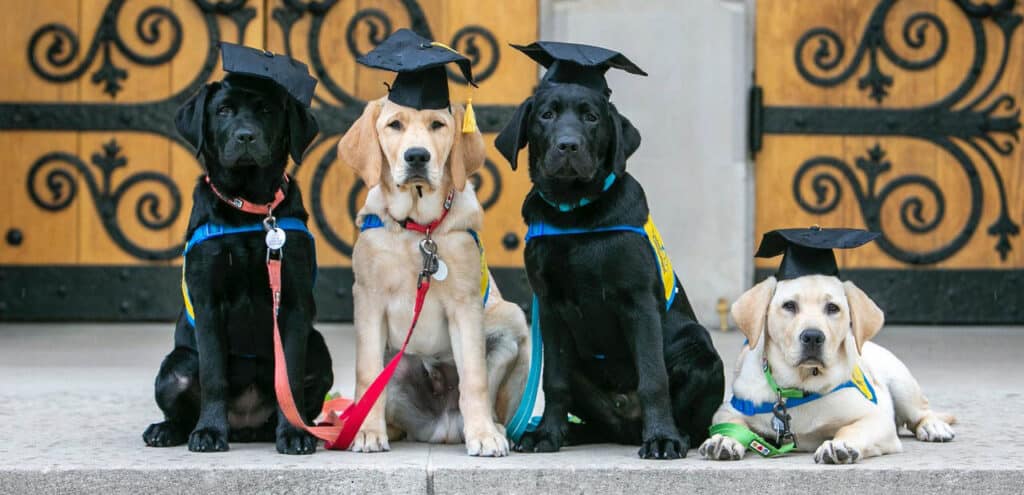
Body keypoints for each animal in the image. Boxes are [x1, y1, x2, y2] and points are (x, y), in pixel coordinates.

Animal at [140, 44, 329, 455]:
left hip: (319, 350)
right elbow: (214, 375)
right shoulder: (208, 303)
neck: (250, 207)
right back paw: (169, 430)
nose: (245, 136)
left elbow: (289, 377)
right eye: (224, 110)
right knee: (182, 400)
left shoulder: (293, 303)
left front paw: (294, 434)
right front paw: (210, 432)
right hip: (174, 365)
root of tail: (245, 423)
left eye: (267, 111)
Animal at [337, 96, 528, 457]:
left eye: (437, 125)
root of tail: (443, 429)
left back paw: (492, 428)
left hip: (514, 320)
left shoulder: (465, 305)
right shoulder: (368, 300)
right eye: (394, 125)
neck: (418, 229)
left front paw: (483, 435)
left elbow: (474, 378)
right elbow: (367, 374)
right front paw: (368, 433)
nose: (417, 156)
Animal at [493, 40, 720, 459]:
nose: (568, 145)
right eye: (547, 115)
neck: (575, 215)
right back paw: (569, 432)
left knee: (693, 422)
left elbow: (653, 378)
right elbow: (554, 381)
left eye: (591, 117)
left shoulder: (638, 301)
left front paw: (661, 438)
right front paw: (547, 434)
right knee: (595, 418)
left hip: (699, 346)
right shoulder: (549, 308)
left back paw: (675, 435)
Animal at [700, 274, 954, 465]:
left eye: (833, 308)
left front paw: (839, 444)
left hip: (902, 383)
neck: (799, 386)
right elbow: (735, 425)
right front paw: (725, 440)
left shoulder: (877, 418)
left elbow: (852, 429)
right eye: (789, 306)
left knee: (921, 412)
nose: (813, 336)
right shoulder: (726, 411)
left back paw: (933, 426)